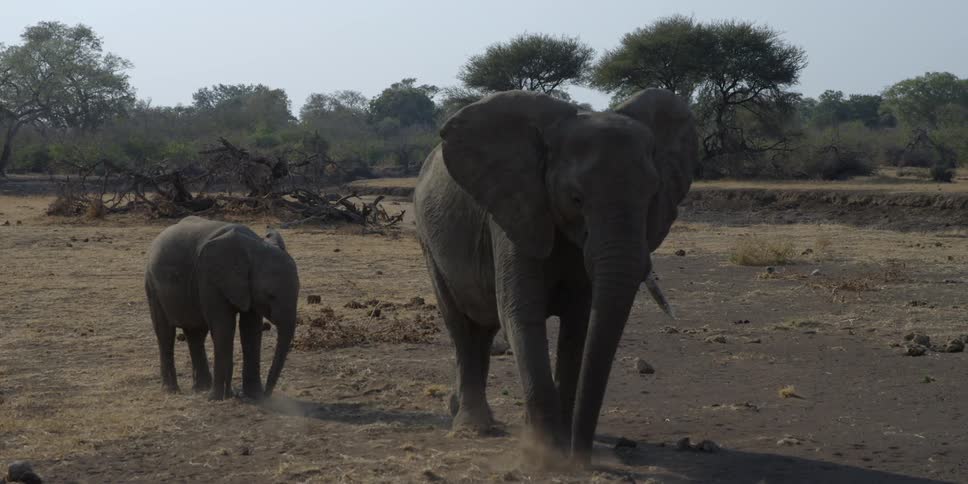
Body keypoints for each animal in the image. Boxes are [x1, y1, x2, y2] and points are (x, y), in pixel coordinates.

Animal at [144, 216, 300, 401]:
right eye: (270, 295)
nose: (267, 394)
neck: (254, 247)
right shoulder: (210, 278)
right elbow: (223, 327)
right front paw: (218, 398)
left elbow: (251, 329)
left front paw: (253, 396)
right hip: (152, 286)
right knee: (165, 334)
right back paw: (173, 391)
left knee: (196, 334)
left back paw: (201, 388)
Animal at [413, 88, 696, 465]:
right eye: (575, 198)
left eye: (652, 195)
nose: (582, 456)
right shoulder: (516, 210)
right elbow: (522, 314)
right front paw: (546, 455)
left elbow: (579, 325)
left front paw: (561, 445)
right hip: (427, 240)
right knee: (461, 326)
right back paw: (473, 427)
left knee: (483, 329)